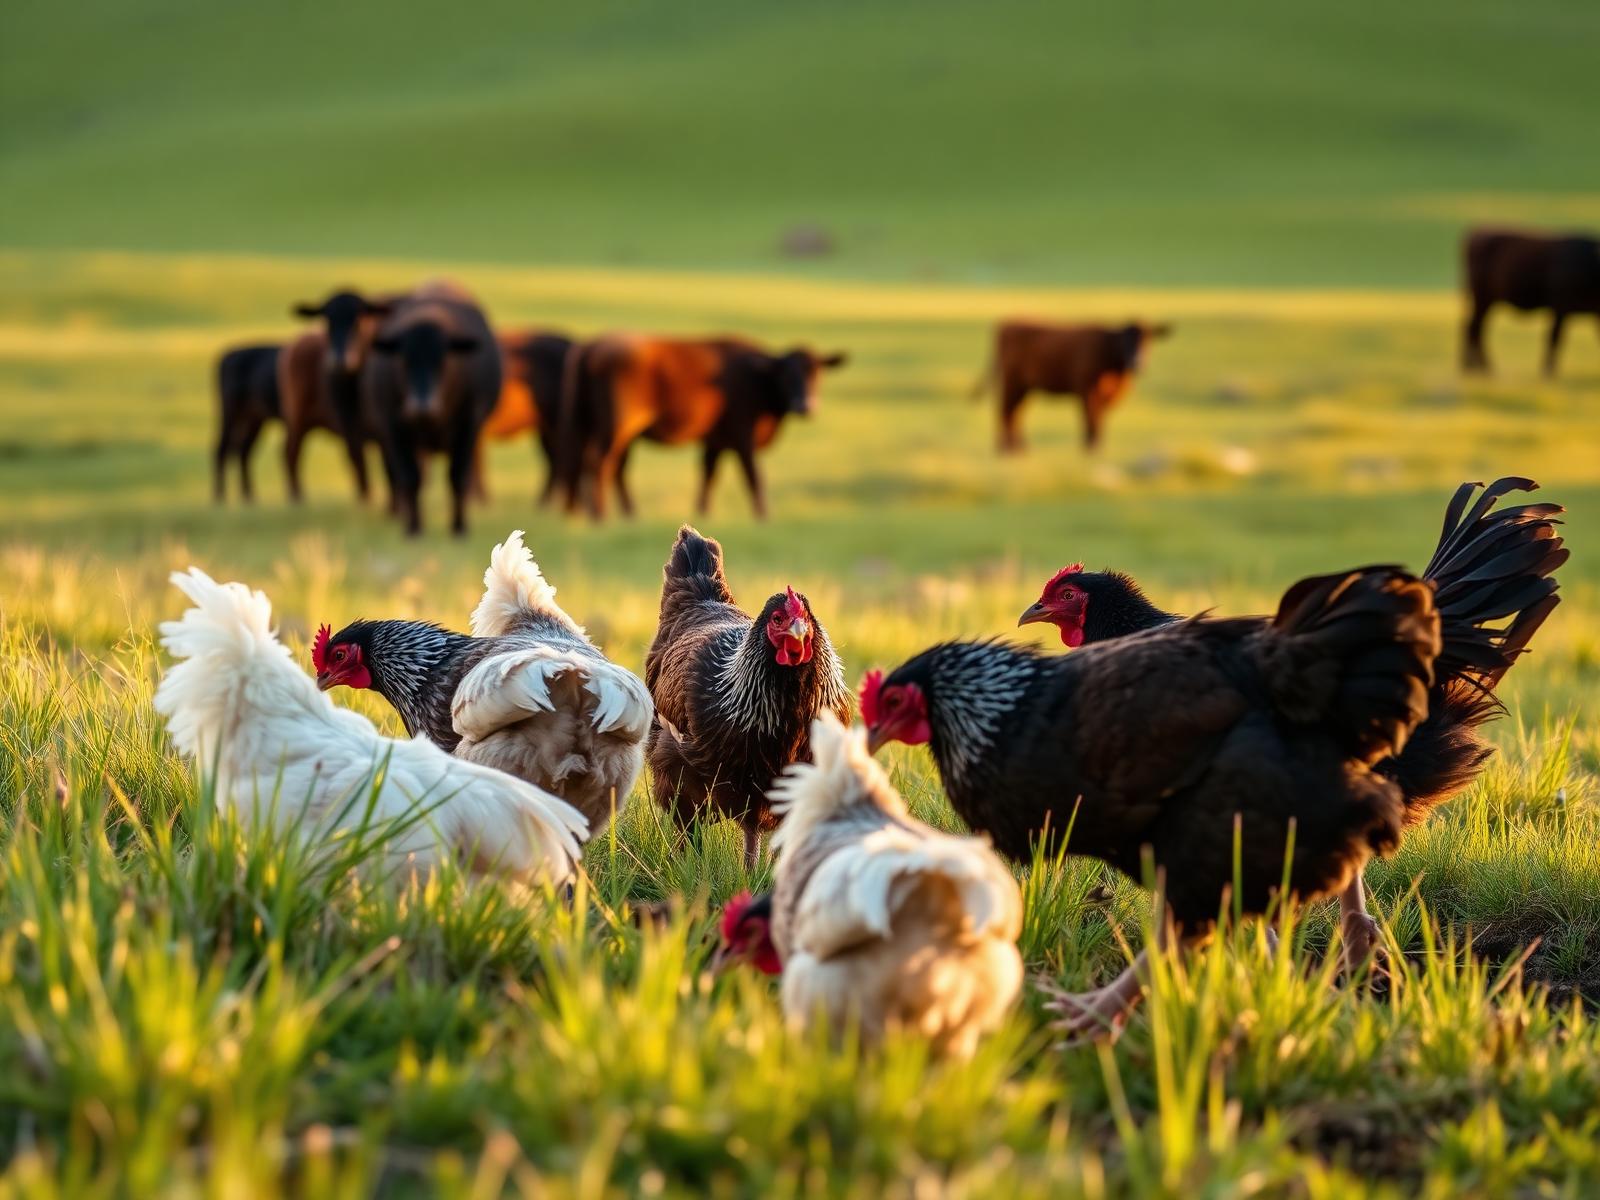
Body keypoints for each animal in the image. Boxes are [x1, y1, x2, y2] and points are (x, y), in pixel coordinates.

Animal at [213, 343, 281, 503]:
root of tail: (223, 359)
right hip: (230, 413)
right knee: (221, 449)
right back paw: (220, 498)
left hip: (253, 419)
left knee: (242, 451)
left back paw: (249, 497)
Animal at [361, 283, 500, 536]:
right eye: (404, 360)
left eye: (442, 360)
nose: (422, 406)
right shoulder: (394, 429)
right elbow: (410, 476)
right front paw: (413, 527)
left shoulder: (469, 426)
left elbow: (458, 476)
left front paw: (459, 527)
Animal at [560, 335, 847, 519]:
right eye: (786, 374)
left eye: (817, 373)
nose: (805, 405)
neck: (759, 378)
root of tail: (591, 346)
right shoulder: (743, 437)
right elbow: (753, 476)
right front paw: (763, 515)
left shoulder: (715, 441)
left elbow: (709, 474)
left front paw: (703, 511)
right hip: (617, 427)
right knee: (600, 464)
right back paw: (600, 515)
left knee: (607, 467)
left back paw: (625, 514)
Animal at [974, 320, 1172, 453]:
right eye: (1125, 340)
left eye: (1149, 338)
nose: (1138, 363)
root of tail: (1005, 325)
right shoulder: (1087, 390)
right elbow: (1091, 418)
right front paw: (1091, 448)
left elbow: (1098, 418)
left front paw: (1095, 447)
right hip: (1013, 384)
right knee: (1006, 411)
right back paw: (1009, 450)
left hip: (1023, 387)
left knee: (1014, 413)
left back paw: (1017, 448)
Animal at [1462, 229, 1600, 377]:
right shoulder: (1560, 308)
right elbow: (1554, 338)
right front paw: (1548, 371)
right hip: (1483, 299)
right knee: (1475, 328)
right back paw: (1483, 367)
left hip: (1485, 301)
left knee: (1474, 328)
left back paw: (1473, 366)